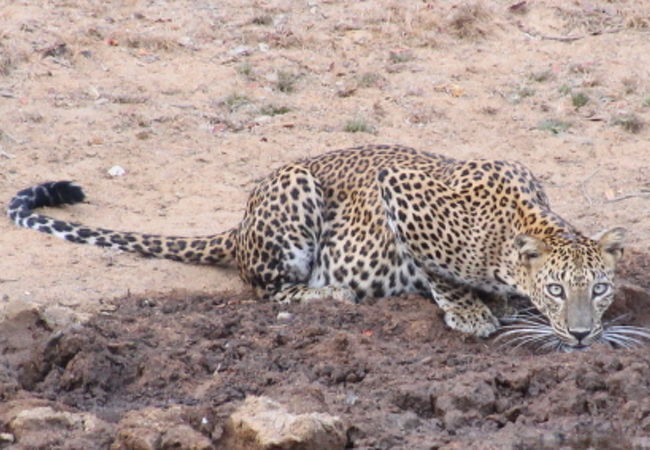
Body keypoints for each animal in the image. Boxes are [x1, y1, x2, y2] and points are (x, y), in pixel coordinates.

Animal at [7, 146, 632, 350]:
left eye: (600, 289)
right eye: (557, 290)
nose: (583, 334)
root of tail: (238, 225)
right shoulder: (397, 187)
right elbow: (437, 271)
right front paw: (471, 310)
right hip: (295, 191)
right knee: (268, 291)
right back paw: (328, 296)